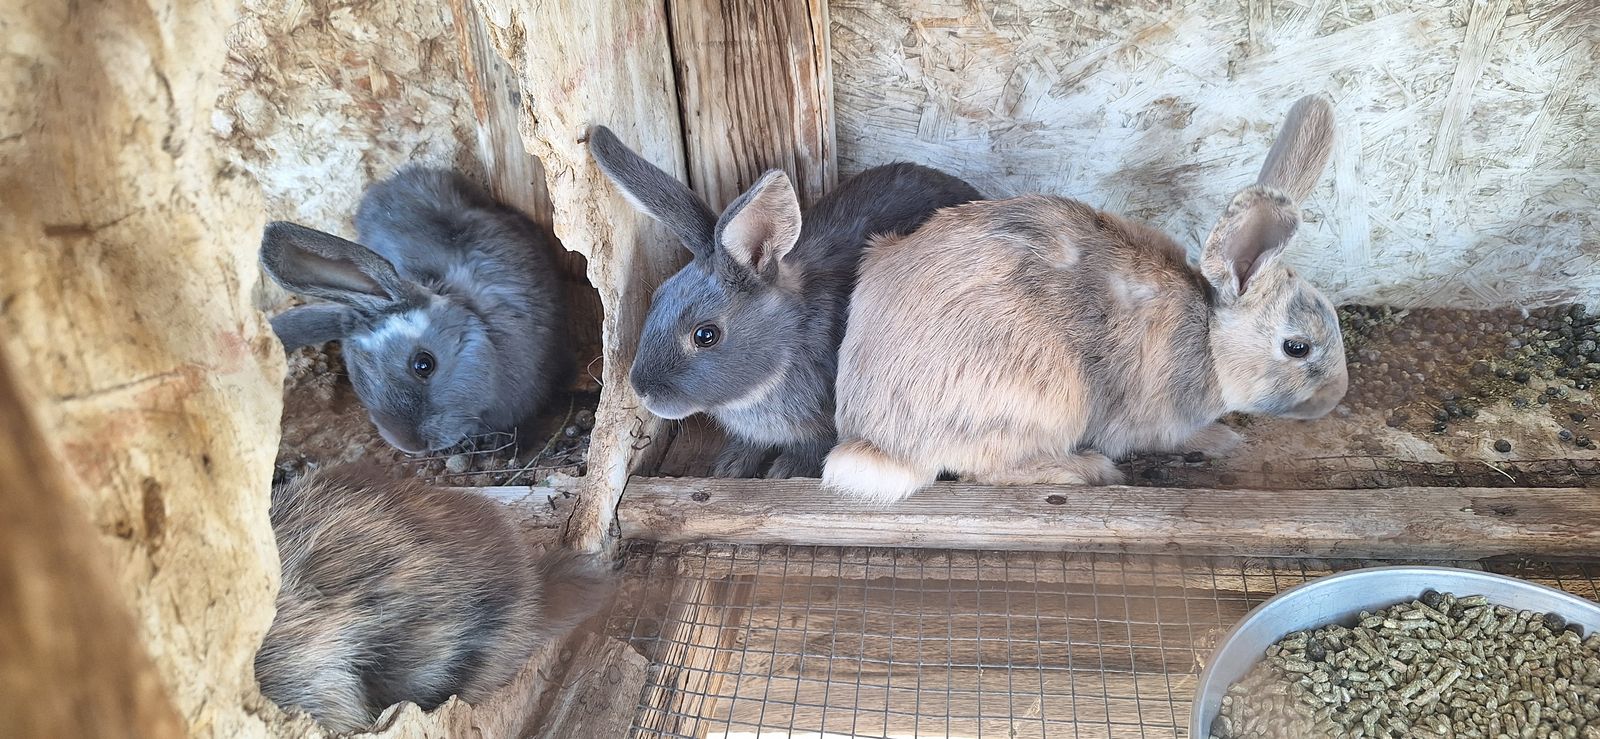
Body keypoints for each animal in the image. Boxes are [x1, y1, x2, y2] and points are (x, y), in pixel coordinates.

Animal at [587, 125, 982, 478]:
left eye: (705, 335)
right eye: (657, 297)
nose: (642, 390)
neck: (789, 341)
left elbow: (812, 448)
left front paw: (784, 471)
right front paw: (731, 466)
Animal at [823, 95, 1349, 501]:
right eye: (1297, 347)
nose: (1335, 397)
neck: (1210, 338)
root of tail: (878, 443)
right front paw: (1221, 438)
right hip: (1050, 398)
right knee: (987, 471)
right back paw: (1087, 470)